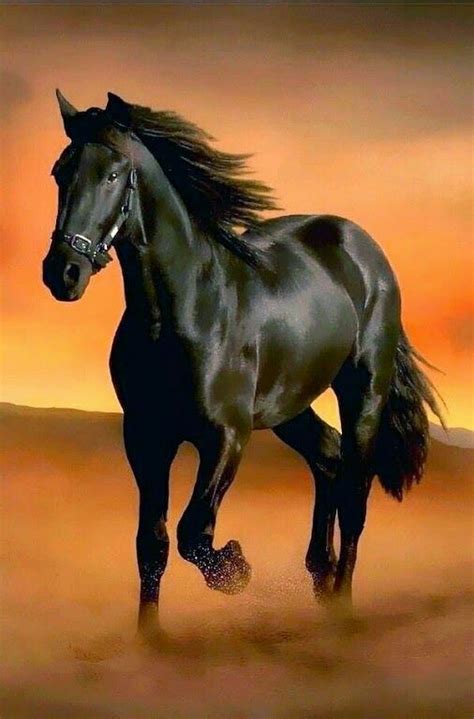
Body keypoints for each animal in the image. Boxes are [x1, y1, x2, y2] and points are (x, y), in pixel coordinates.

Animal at [43, 90, 444, 641]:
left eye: (112, 174)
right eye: (60, 172)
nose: (63, 273)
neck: (184, 310)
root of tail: (365, 249)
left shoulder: (227, 437)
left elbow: (193, 532)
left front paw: (236, 569)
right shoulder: (146, 438)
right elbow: (153, 543)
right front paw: (149, 639)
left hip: (363, 391)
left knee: (355, 492)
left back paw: (341, 604)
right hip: (289, 405)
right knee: (328, 457)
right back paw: (319, 576)